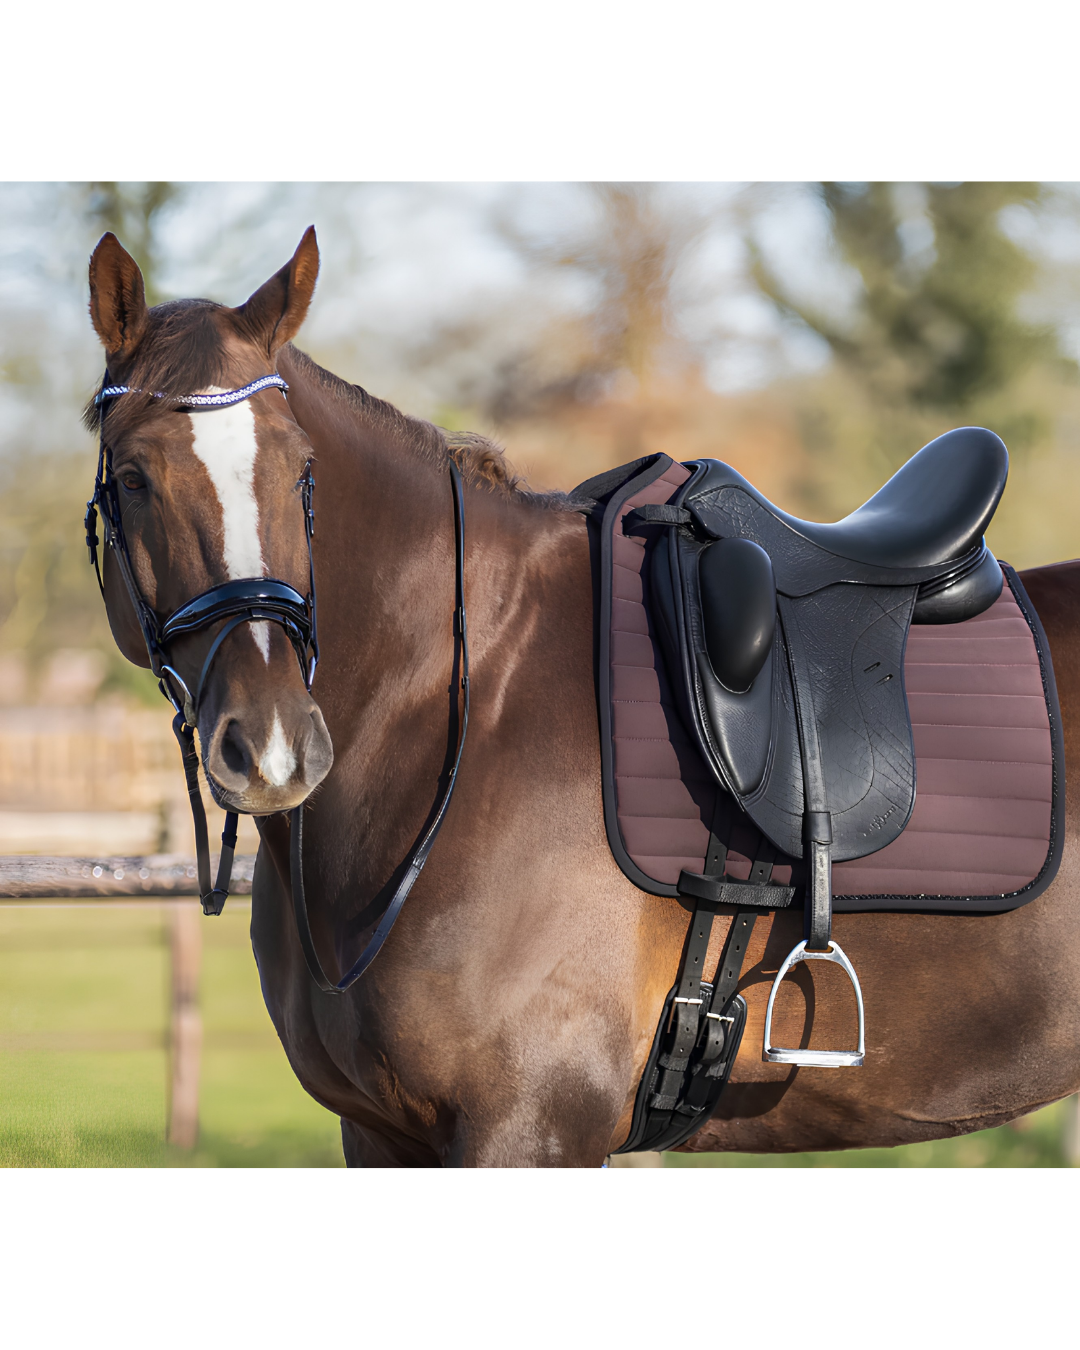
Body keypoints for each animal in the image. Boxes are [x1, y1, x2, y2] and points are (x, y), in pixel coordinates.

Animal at [84, 227, 1080, 1166]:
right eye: (132, 477)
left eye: (301, 474)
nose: (275, 747)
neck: (464, 710)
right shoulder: (381, 1134)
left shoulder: (531, 1128)